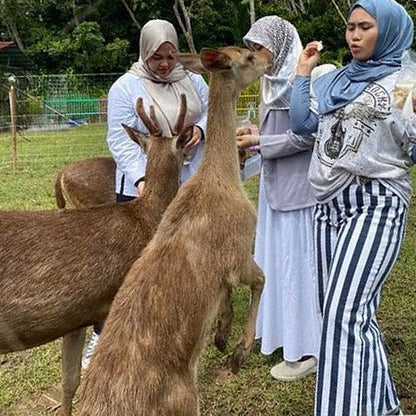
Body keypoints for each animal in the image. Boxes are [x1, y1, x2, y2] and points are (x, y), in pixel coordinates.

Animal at [78, 45, 272, 416]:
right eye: (247, 56)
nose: (270, 59)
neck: (224, 179)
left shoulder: (225, 270)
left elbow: (227, 294)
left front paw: (222, 336)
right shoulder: (239, 248)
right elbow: (260, 280)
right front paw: (238, 351)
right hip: (184, 399)